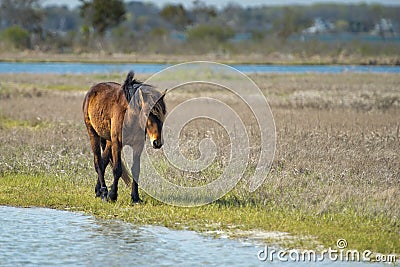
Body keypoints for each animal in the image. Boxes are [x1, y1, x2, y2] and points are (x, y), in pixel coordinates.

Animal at [82, 72, 166, 204]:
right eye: (147, 113)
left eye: (163, 113)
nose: (157, 142)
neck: (130, 116)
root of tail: (91, 92)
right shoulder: (117, 143)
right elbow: (117, 169)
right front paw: (112, 195)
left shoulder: (138, 145)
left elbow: (136, 169)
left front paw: (135, 197)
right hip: (93, 134)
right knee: (98, 163)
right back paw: (104, 193)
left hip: (109, 141)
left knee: (103, 162)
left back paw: (98, 191)